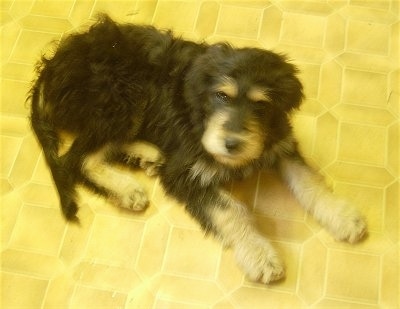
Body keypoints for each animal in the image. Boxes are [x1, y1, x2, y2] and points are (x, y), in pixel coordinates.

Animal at [29, 15, 368, 284]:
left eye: (261, 104)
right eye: (222, 96)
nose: (232, 145)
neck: (201, 114)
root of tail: (52, 67)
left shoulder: (279, 141)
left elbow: (309, 179)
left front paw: (342, 217)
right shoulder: (185, 173)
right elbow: (230, 210)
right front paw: (259, 255)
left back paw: (147, 154)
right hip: (120, 95)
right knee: (76, 158)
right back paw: (127, 188)